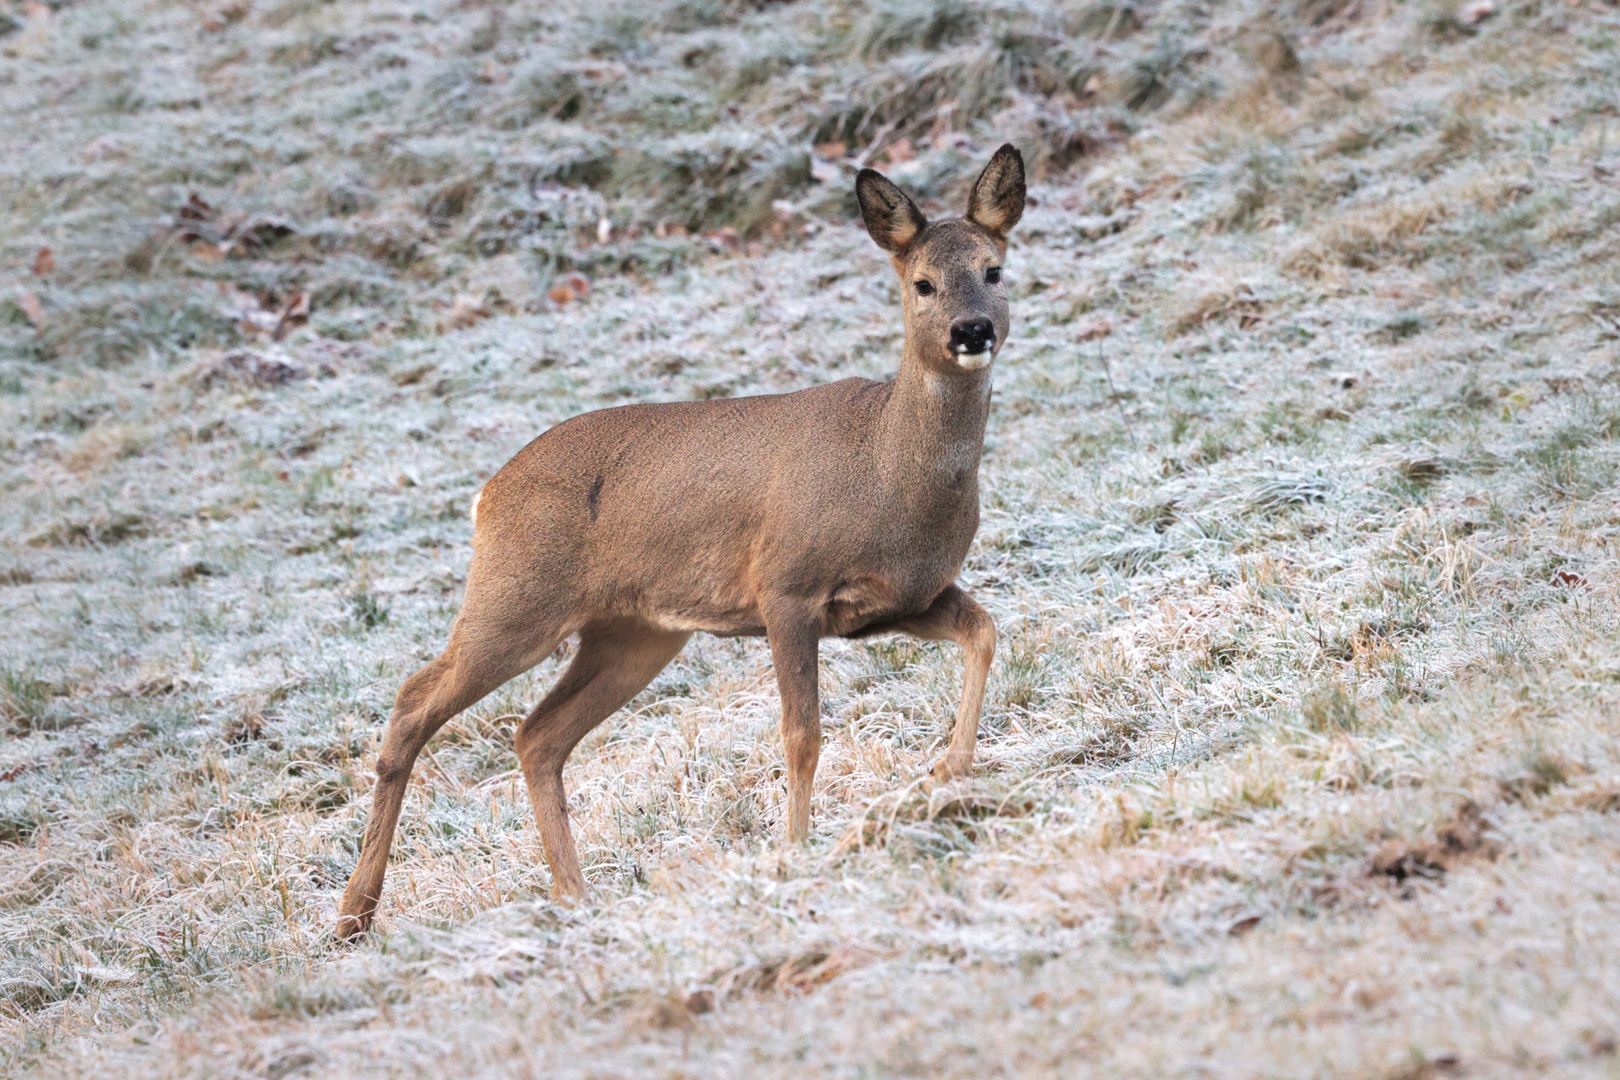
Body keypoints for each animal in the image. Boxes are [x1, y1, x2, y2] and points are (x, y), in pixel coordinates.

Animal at [336, 141, 1023, 939]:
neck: (885, 467)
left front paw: (950, 771)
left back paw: (574, 897)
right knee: (415, 700)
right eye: (922, 284)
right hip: (515, 599)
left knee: (538, 734)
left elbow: (984, 631)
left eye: (994, 270)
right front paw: (795, 852)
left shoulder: (903, 598)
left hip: (634, 633)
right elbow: (801, 734)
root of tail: (487, 496)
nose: (971, 330)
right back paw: (354, 914)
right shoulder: (785, 586)